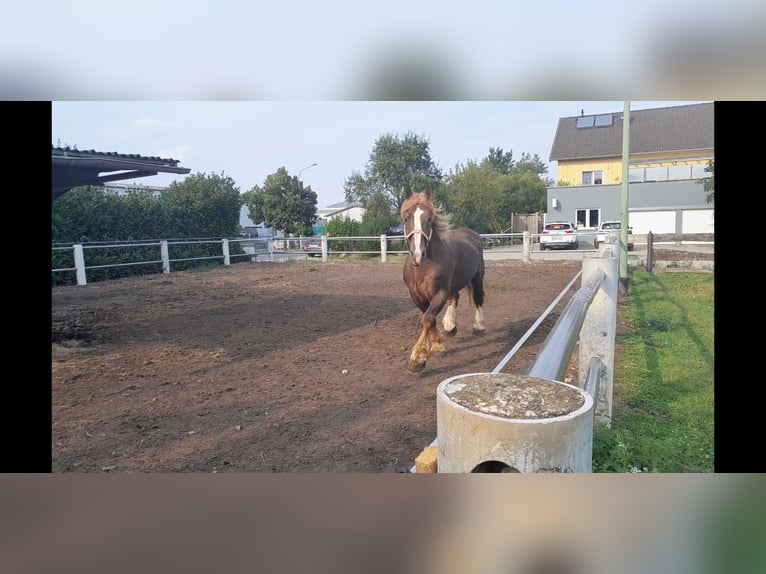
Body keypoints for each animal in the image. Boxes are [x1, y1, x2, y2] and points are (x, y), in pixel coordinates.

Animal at [402, 188, 486, 374]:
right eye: (406, 218)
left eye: (429, 219)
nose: (418, 254)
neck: (423, 267)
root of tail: (471, 234)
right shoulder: (416, 296)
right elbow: (429, 319)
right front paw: (437, 346)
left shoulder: (440, 292)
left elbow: (427, 318)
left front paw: (417, 359)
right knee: (454, 298)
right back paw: (450, 326)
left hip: (477, 277)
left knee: (477, 298)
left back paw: (479, 326)